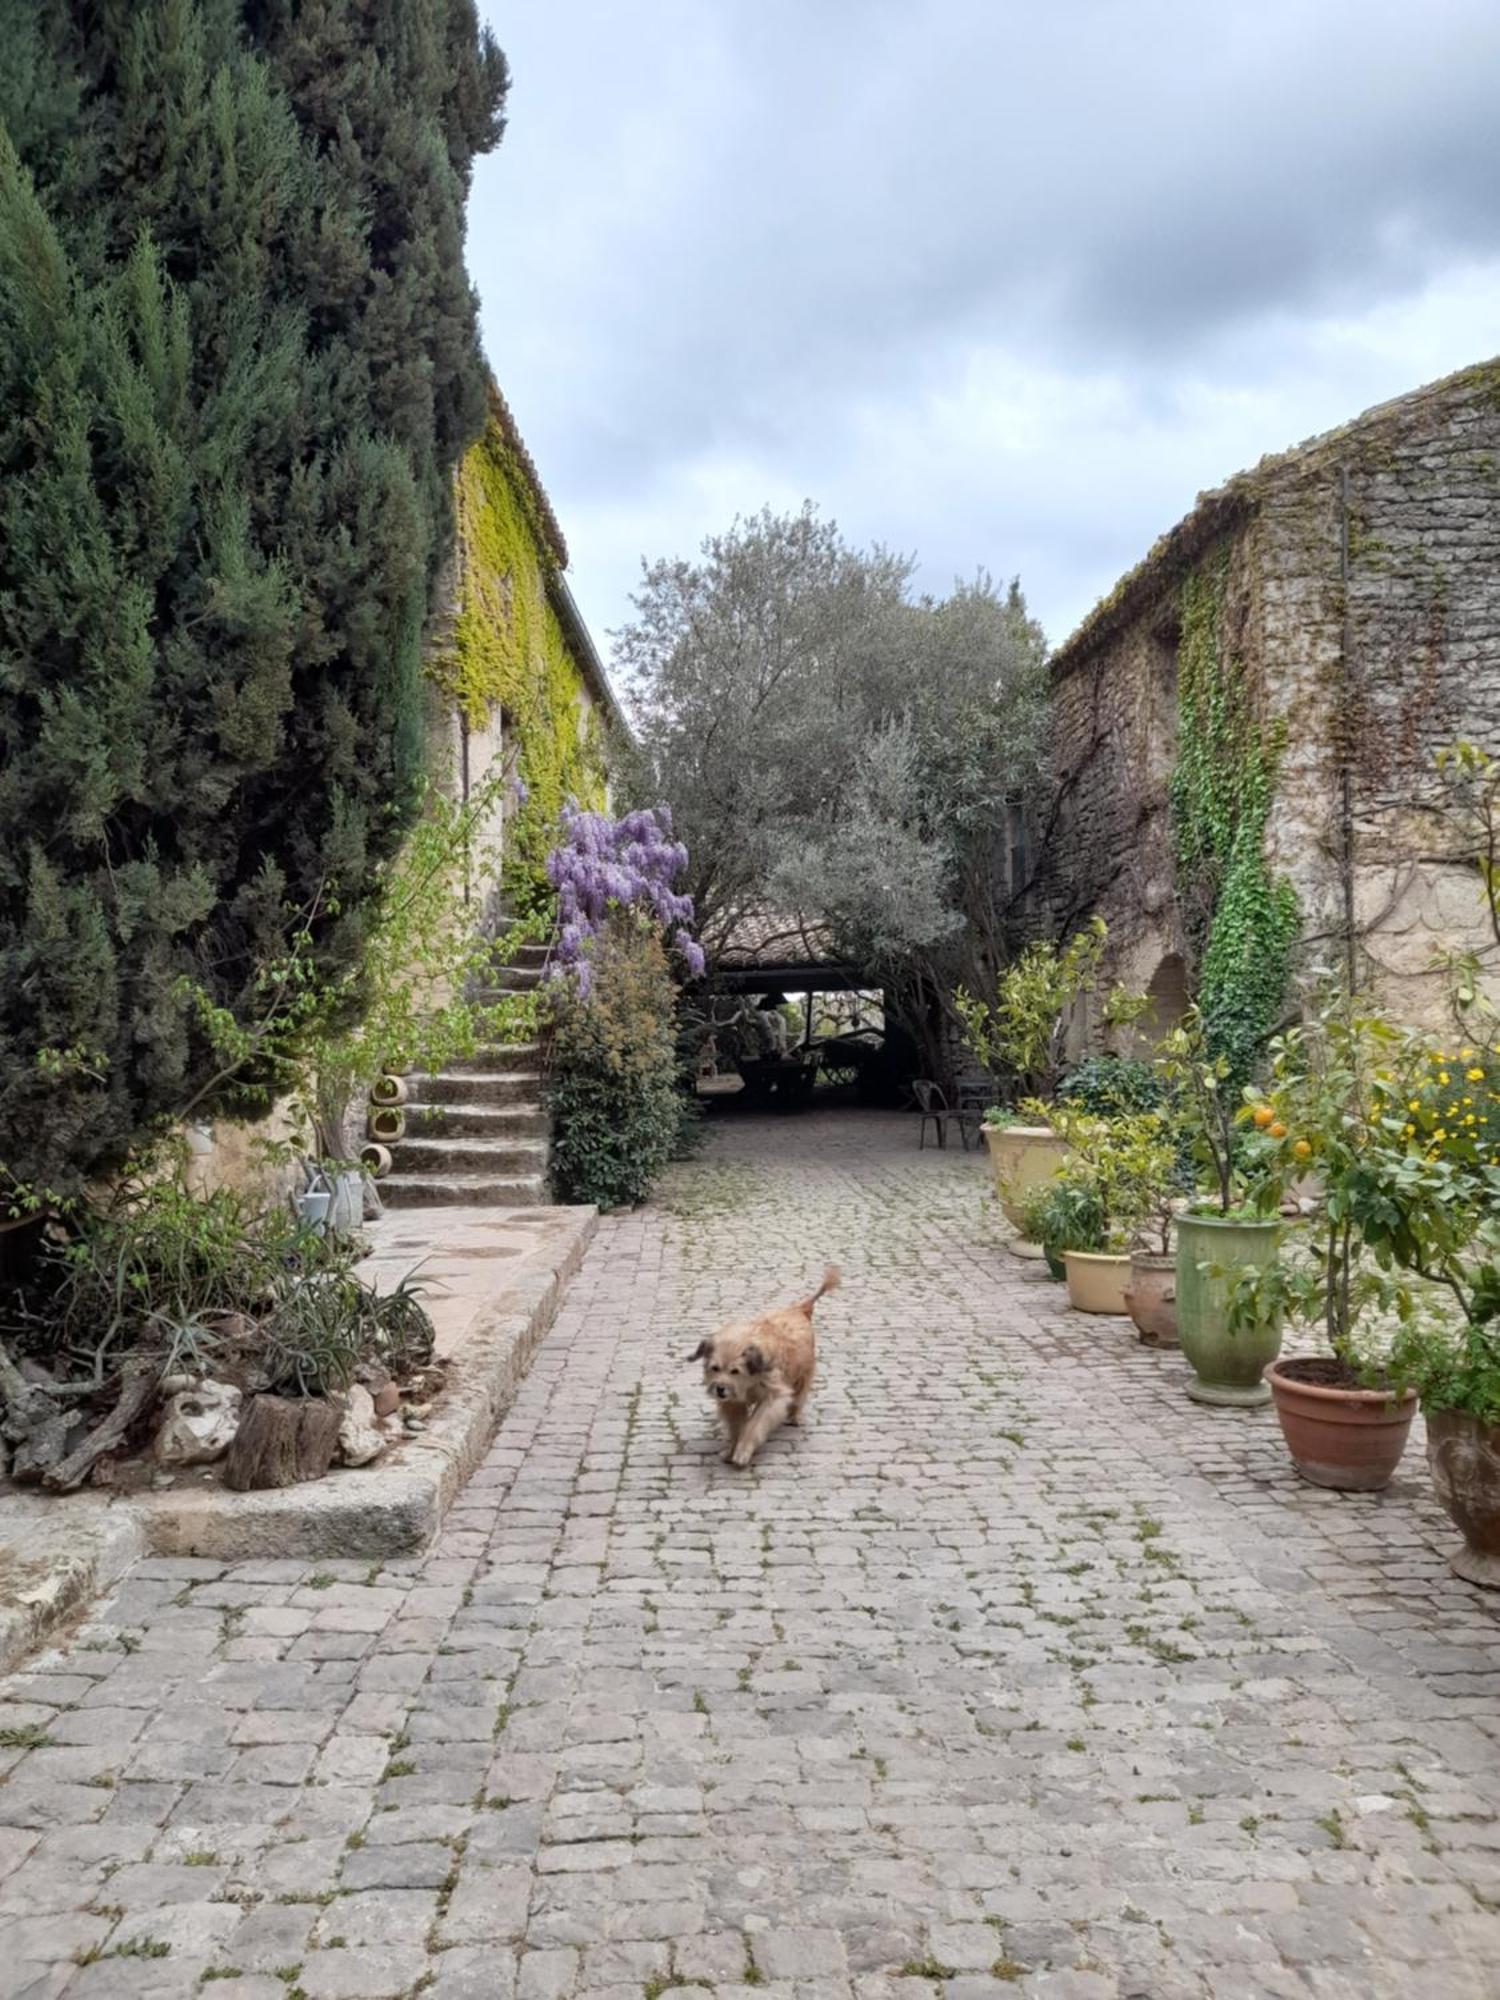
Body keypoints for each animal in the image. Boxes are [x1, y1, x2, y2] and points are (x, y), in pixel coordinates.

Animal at [696, 1264, 840, 1472]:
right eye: (715, 1368)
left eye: (735, 1371)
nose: (720, 1389)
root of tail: (799, 1309)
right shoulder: (734, 1403)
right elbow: (737, 1427)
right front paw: (731, 1450)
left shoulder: (773, 1397)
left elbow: (754, 1425)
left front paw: (742, 1451)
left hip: (803, 1375)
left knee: (800, 1395)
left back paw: (795, 1416)